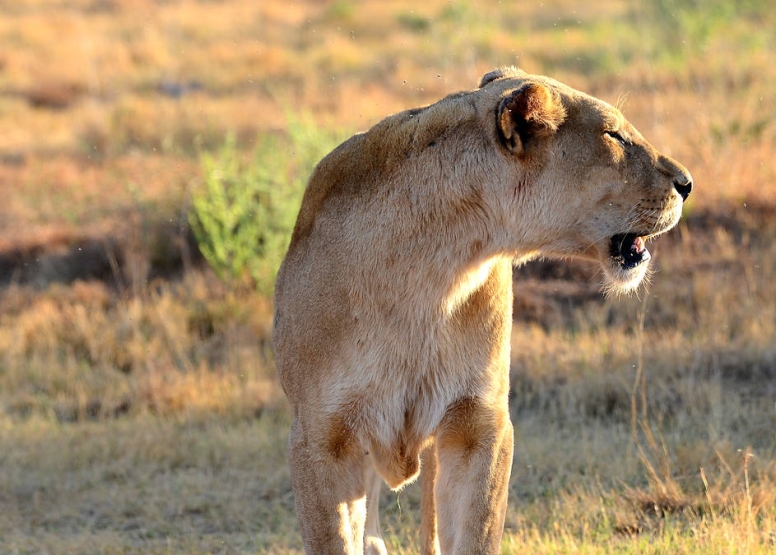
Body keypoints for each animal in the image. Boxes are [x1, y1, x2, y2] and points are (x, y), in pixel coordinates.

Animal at [272, 67, 692, 552]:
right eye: (614, 135)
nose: (687, 183)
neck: (434, 272)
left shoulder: (477, 425)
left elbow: (475, 532)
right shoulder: (320, 438)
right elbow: (335, 536)